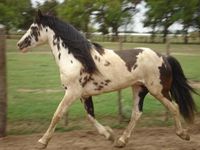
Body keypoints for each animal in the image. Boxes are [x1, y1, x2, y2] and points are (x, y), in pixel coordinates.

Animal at [16, 9, 197, 148]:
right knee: (136, 113)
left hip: (158, 91)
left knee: (174, 107)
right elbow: (90, 117)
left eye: (33, 28)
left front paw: (42, 141)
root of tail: (164, 57)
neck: (76, 58)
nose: (19, 44)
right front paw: (110, 136)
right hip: (139, 89)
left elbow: (57, 114)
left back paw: (183, 134)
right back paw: (122, 141)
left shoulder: (72, 93)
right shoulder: (84, 95)